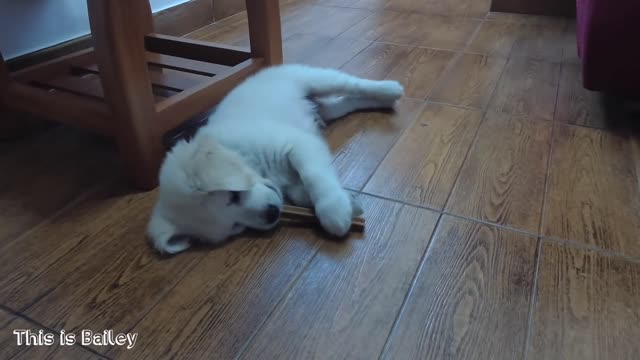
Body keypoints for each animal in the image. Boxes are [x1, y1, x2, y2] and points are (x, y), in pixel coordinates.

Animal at [148, 64, 402, 253]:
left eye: (233, 195)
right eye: (235, 227)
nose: (272, 214)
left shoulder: (297, 144)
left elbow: (314, 176)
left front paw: (334, 210)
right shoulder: (290, 173)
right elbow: (300, 191)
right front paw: (347, 202)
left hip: (312, 78)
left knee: (353, 83)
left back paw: (391, 89)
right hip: (328, 109)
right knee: (348, 102)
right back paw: (383, 102)